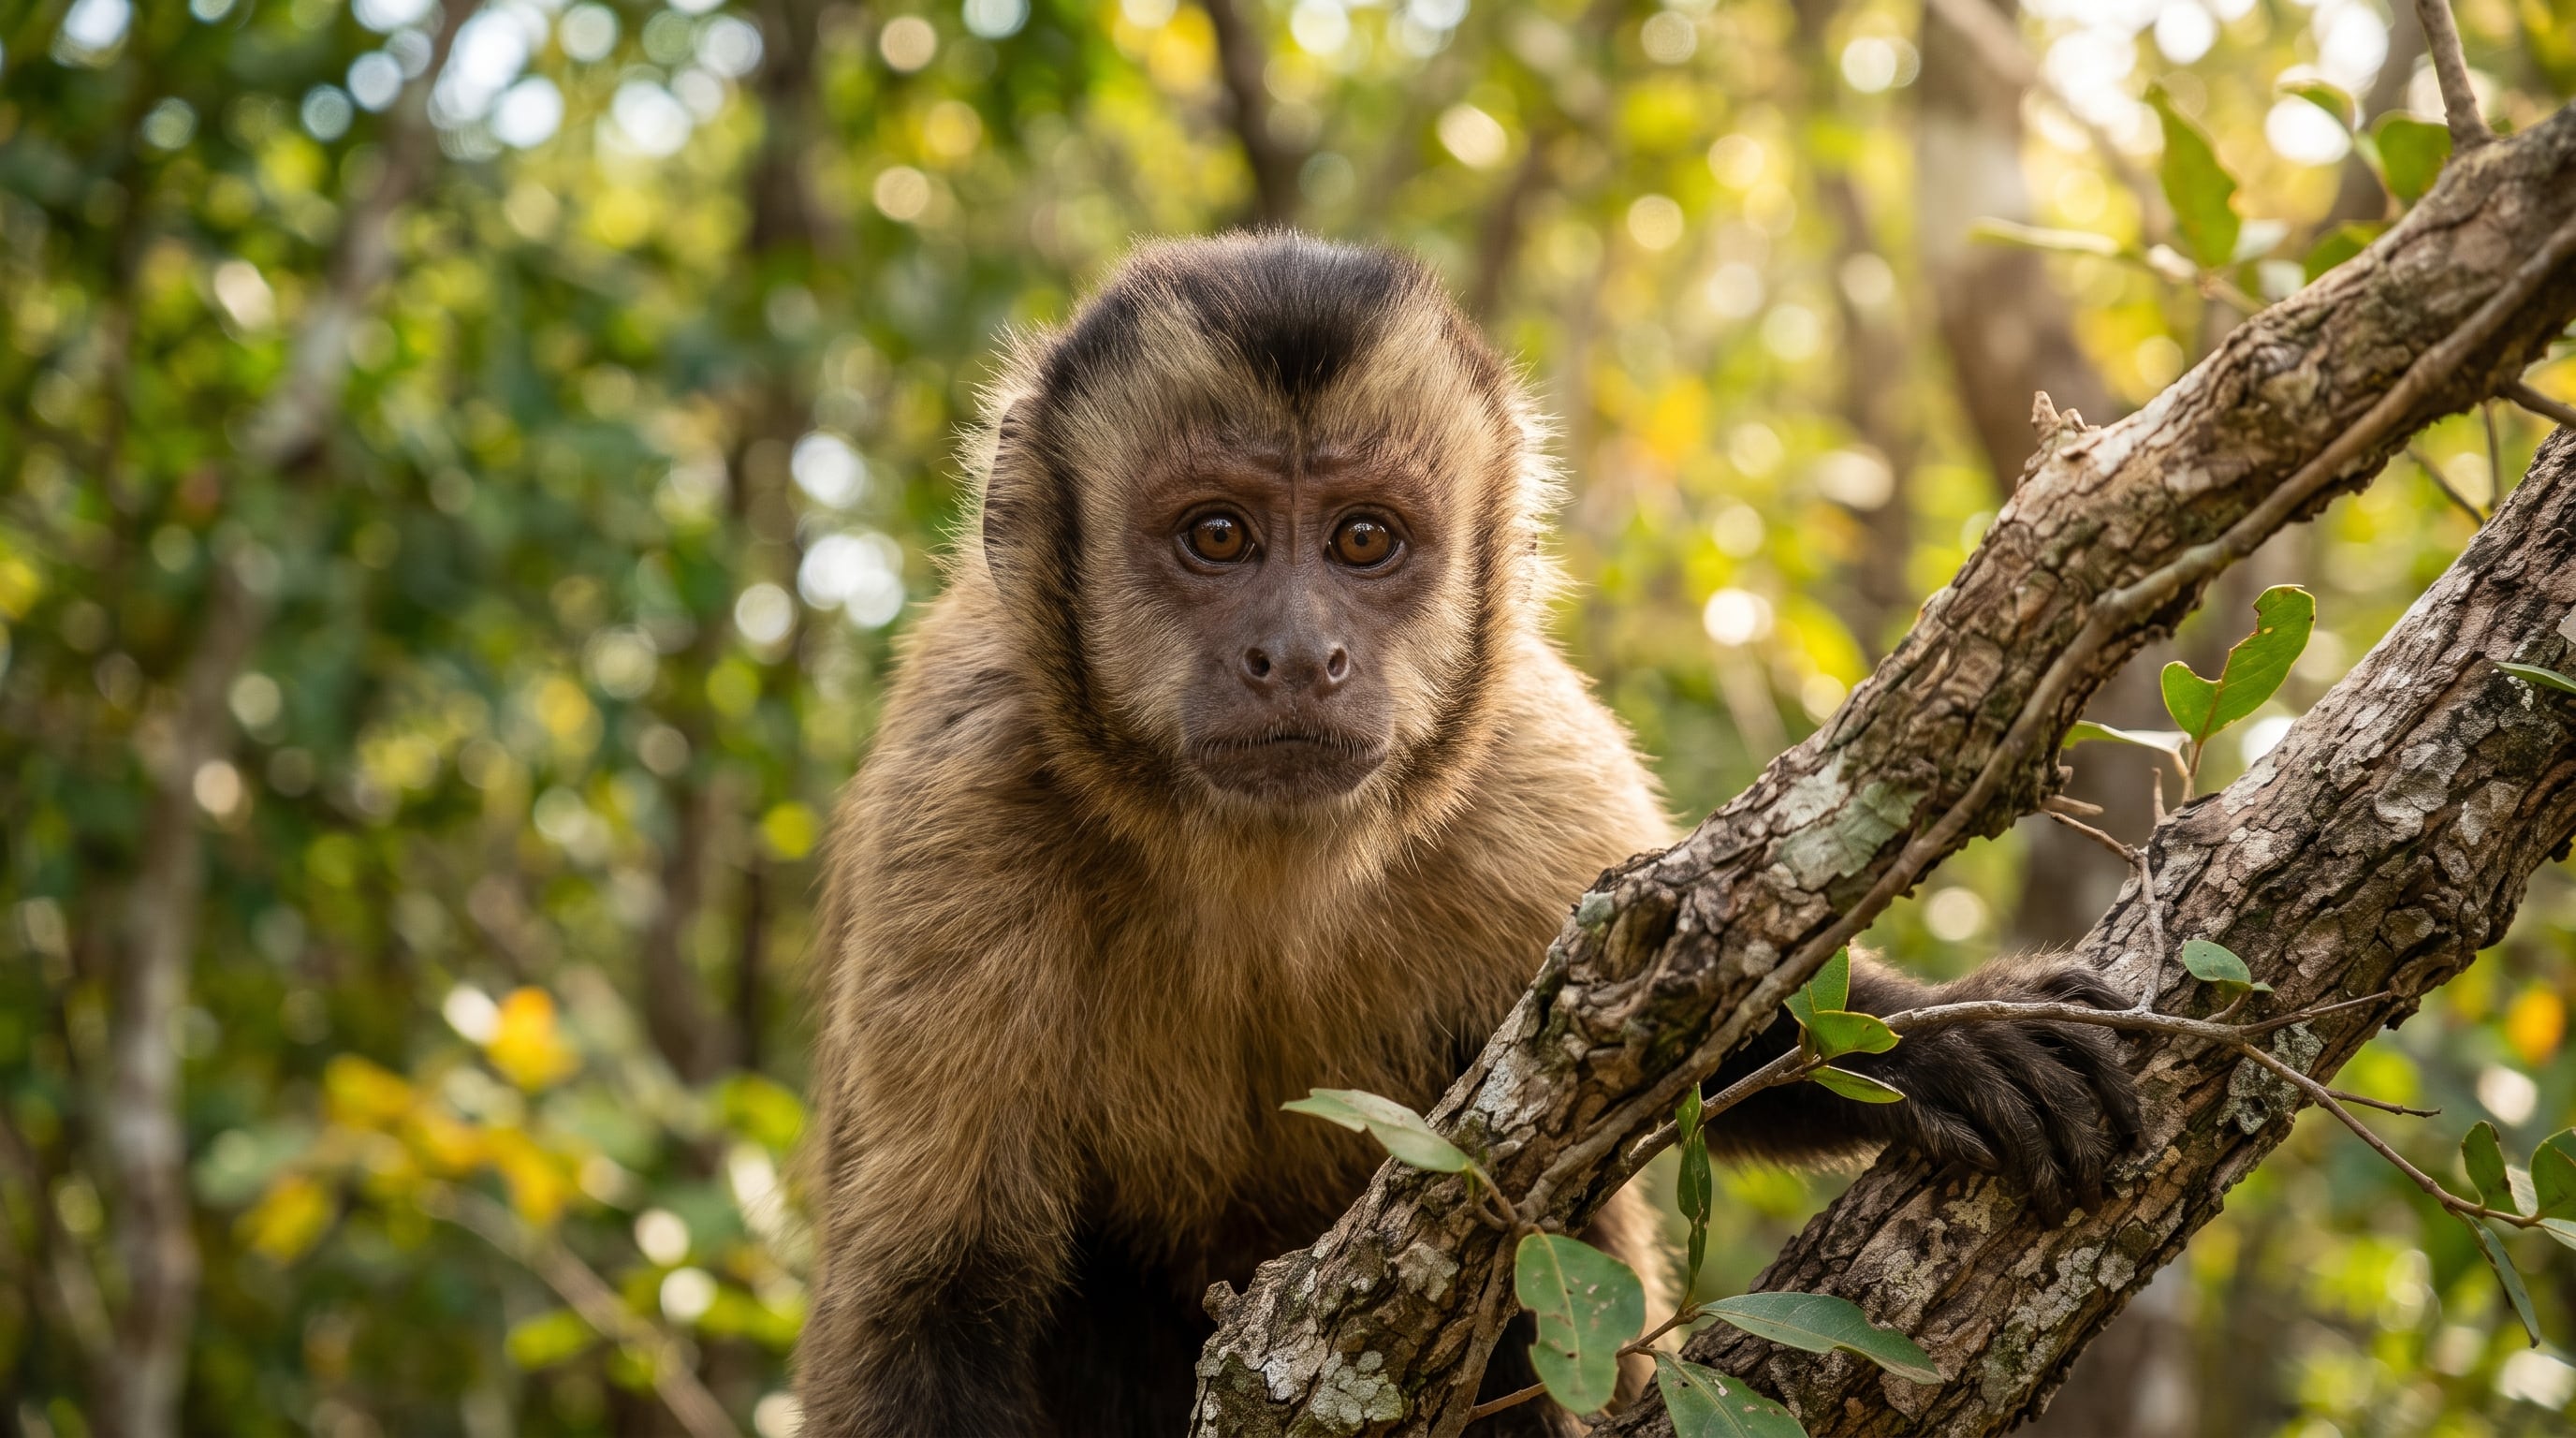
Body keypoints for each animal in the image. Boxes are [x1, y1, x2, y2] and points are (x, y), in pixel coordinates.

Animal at [794, 232, 2139, 1438]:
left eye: (1364, 539)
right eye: (1217, 535)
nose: (1299, 655)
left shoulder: (1519, 775)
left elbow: (1693, 1033)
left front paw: (1947, 1041)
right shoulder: (964, 800)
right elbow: (928, 1307)